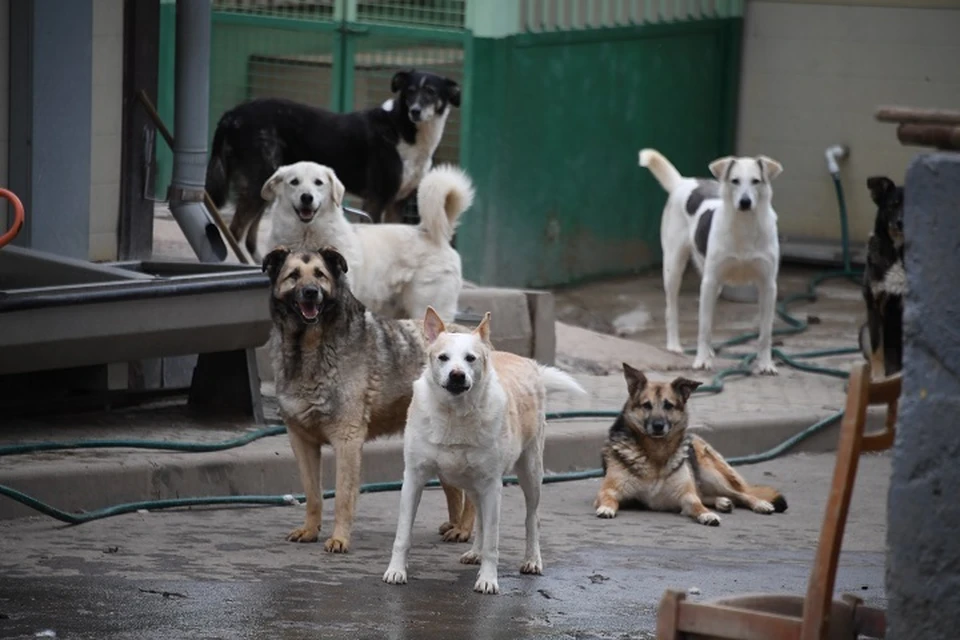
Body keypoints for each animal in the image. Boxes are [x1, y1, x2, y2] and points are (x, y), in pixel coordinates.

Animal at [208, 69, 464, 258]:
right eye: (410, 92)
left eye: (430, 92)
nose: (416, 111)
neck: (403, 128)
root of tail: (232, 114)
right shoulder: (376, 200)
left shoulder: (396, 204)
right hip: (258, 181)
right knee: (235, 231)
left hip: (266, 188)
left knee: (250, 237)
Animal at [262, 158, 472, 322]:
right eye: (294, 182)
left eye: (318, 182)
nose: (307, 197)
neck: (307, 237)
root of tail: (430, 233)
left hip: (427, 307)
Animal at [382, 308, 584, 592]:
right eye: (443, 358)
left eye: (470, 358)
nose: (457, 375)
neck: (454, 415)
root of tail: (528, 362)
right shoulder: (413, 478)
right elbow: (402, 535)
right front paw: (396, 571)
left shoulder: (492, 486)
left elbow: (493, 541)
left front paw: (488, 579)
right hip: (471, 482)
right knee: (478, 515)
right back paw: (475, 552)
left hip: (531, 474)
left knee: (532, 518)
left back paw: (532, 560)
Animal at [640, 149, 784, 376]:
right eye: (735, 180)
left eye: (756, 181)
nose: (745, 202)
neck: (744, 226)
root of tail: (684, 181)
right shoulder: (709, 282)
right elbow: (704, 327)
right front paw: (701, 360)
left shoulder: (768, 286)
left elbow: (765, 332)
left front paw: (765, 364)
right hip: (674, 267)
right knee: (671, 309)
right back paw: (675, 346)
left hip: (716, 285)